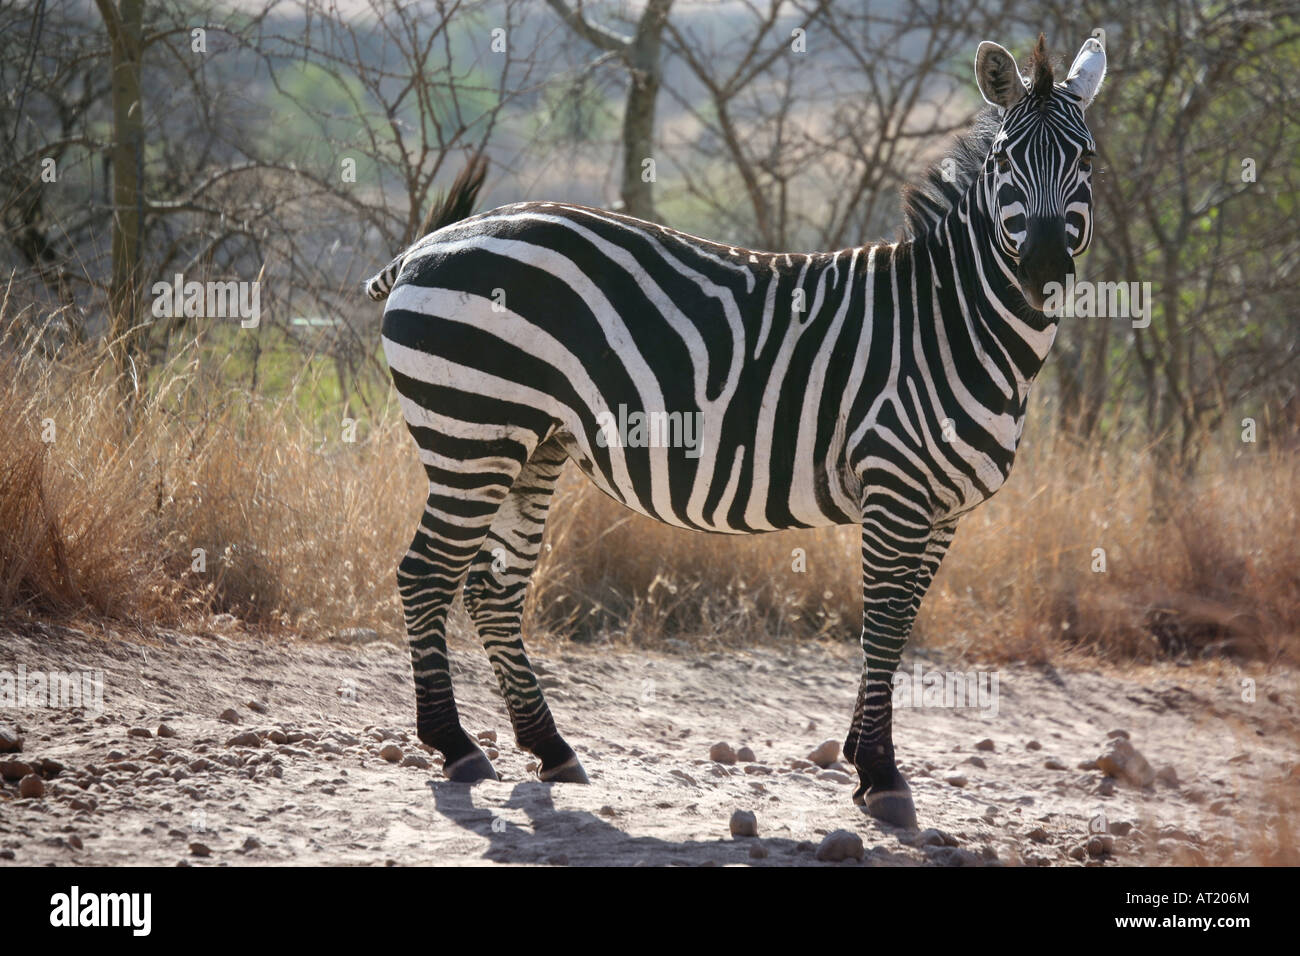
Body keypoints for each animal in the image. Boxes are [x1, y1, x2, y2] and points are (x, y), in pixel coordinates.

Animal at [366, 35, 1107, 832]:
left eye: (1087, 158)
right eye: (1004, 159)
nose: (1042, 271)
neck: (952, 324)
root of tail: (428, 244)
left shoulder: (943, 509)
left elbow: (903, 623)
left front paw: (859, 758)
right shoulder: (897, 488)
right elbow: (881, 623)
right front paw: (881, 776)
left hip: (531, 445)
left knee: (491, 588)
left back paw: (549, 747)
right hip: (472, 433)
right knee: (425, 574)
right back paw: (455, 746)